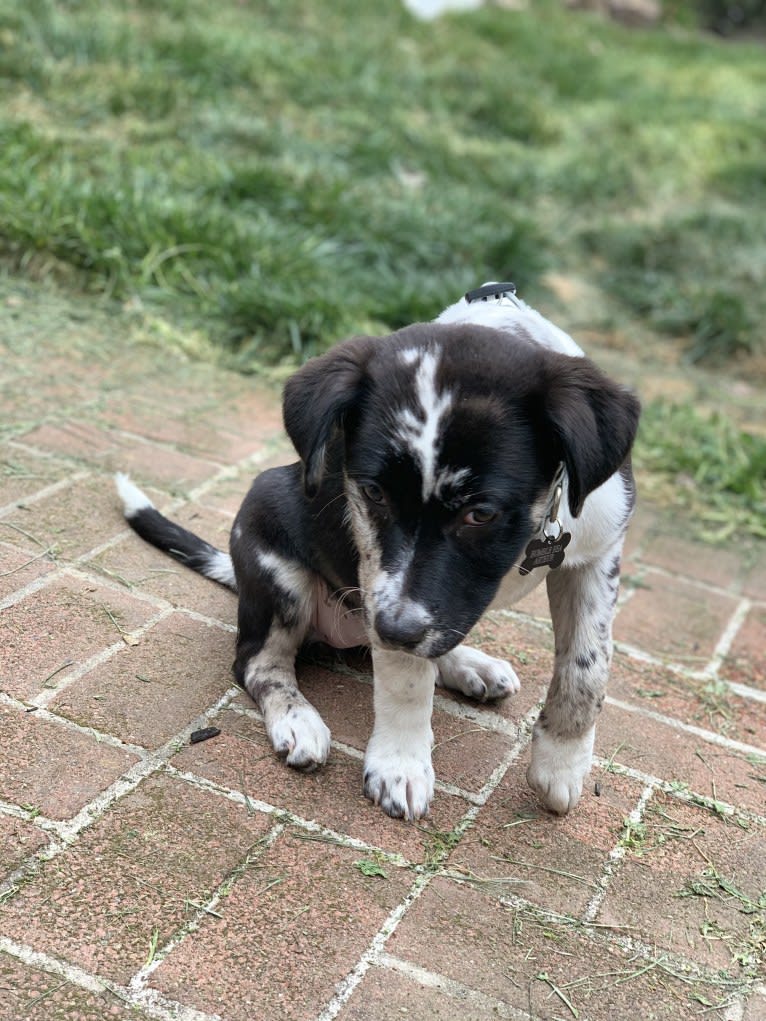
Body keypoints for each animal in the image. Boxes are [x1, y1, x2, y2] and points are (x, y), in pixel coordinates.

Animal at [115, 285, 641, 820]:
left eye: (481, 514)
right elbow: (407, 681)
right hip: (274, 549)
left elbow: (587, 670)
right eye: (373, 492)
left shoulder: (597, 556)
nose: (392, 629)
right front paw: (401, 765)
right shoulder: (378, 576)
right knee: (258, 663)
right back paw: (297, 720)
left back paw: (468, 665)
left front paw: (560, 764)